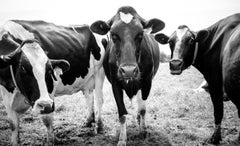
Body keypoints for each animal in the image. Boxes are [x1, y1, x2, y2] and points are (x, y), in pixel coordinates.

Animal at [90, 6, 165, 146]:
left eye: (140, 34)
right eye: (113, 34)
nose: (129, 71)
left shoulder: (147, 83)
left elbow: (142, 109)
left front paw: (143, 131)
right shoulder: (115, 84)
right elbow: (122, 113)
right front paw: (122, 139)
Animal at [155, 13, 240, 144]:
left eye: (191, 40)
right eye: (170, 41)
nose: (175, 64)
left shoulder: (214, 81)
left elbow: (218, 111)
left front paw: (215, 138)